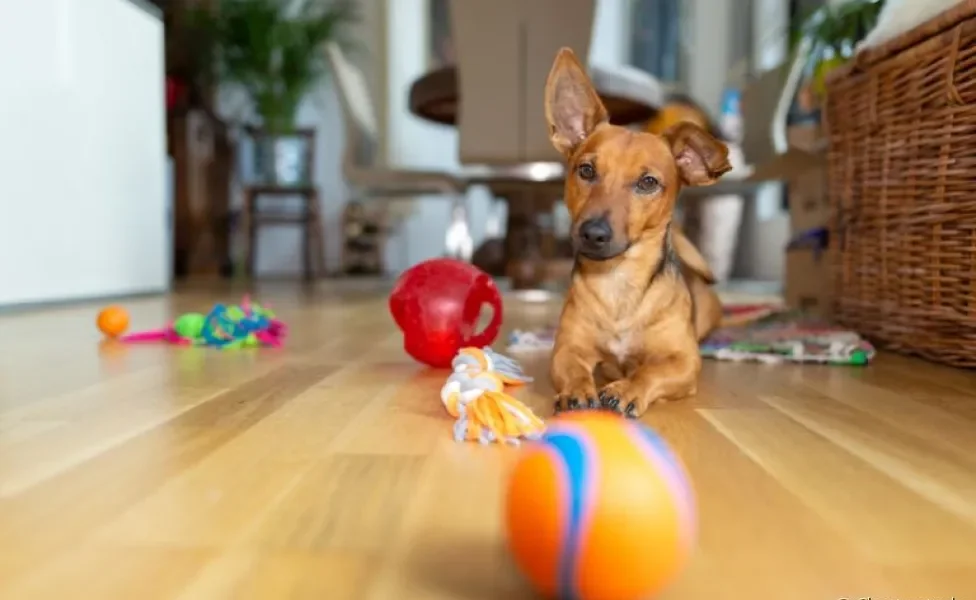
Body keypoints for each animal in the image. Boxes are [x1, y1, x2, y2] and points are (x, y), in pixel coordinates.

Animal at [544, 48, 728, 418]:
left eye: (648, 182)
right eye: (586, 170)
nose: (593, 233)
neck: (619, 282)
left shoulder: (684, 362)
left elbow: (651, 371)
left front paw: (627, 388)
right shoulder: (567, 349)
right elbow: (573, 369)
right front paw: (576, 390)